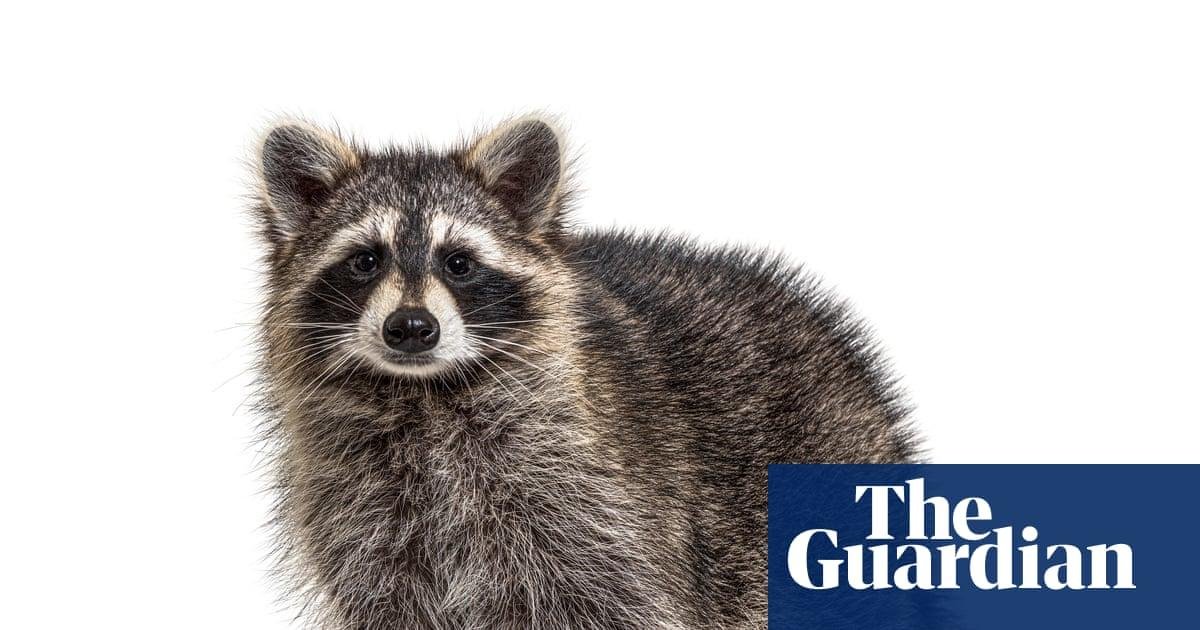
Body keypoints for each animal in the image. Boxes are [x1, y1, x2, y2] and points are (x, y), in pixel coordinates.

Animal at [251, 116, 917, 629]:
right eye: (365, 261)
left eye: (458, 263)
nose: (411, 327)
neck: (424, 393)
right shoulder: (362, 516)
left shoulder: (593, 503)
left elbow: (617, 601)